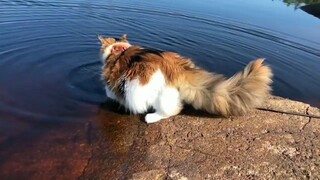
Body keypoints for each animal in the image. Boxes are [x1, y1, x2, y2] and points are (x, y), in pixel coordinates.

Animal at [97, 34, 272, 124]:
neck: (119, 50)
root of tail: (177, 67)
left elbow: (110, 92)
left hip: (147, 91)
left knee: (171, 111)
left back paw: (150, 118)